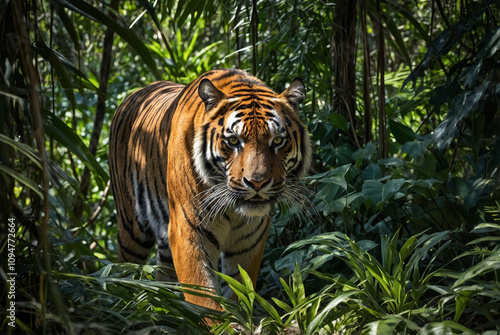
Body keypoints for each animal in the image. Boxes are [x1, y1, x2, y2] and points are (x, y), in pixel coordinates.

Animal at [110, 69, 312, 312]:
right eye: (233, 140)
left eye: (278, 140)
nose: (257, 183)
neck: (234, 210)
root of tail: (135, 93)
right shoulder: (187, 230)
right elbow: (203, 297)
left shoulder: (249, 239)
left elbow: (239, 291)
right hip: (131, 228)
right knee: (125, 268)